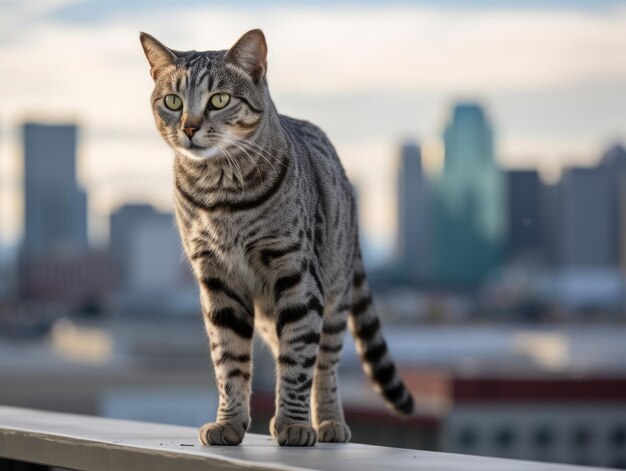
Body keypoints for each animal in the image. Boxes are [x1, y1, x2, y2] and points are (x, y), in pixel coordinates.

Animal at [139, 27, 412, 448]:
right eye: (172, 101)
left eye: (219, 100)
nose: (189, 127)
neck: (221, 193)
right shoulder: (218, 281)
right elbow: (229, 361)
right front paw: (230, 421)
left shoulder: (296, 273)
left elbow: (298, 359)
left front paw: (295, 423)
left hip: (334, 294)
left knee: (325, 364)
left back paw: (328, 421)